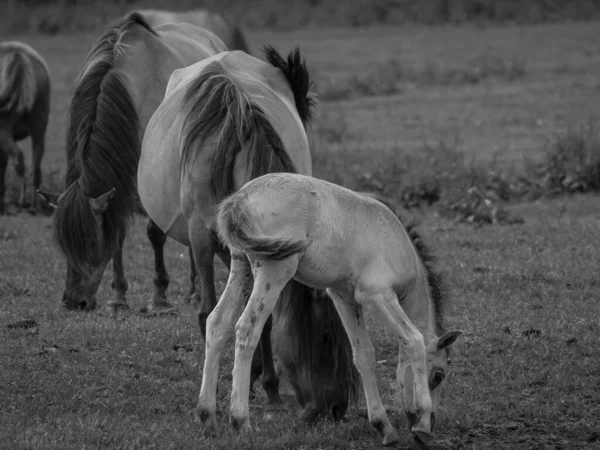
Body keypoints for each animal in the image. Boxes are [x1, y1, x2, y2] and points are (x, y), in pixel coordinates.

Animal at [37, 13, 229, 312]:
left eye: (90, 242)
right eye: (63, 246)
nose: (74, 302)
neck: (130, 86)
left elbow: (155, 233)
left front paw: (159, 295)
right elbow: (118, 232)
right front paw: (119, 296)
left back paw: (196, 292)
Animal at [137, 45, 358, 412]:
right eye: (326, 337)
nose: (336, 408)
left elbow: (261, 318)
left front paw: (267, 385)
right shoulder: (201, 239)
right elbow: (208, 314)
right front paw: (216, 388)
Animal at [199, 172, 462, 446]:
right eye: (439, 376)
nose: (433, 420)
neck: (397, 242)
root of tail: (240, 198)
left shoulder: (345, 298)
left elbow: (364, 355)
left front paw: (384, 427)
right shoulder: (378, 296)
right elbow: (414, 340)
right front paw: (422, 423)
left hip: (241, 266)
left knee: (217, 323)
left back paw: (208, 418)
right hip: (275, 270)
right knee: (247, 330)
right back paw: (241, 422)